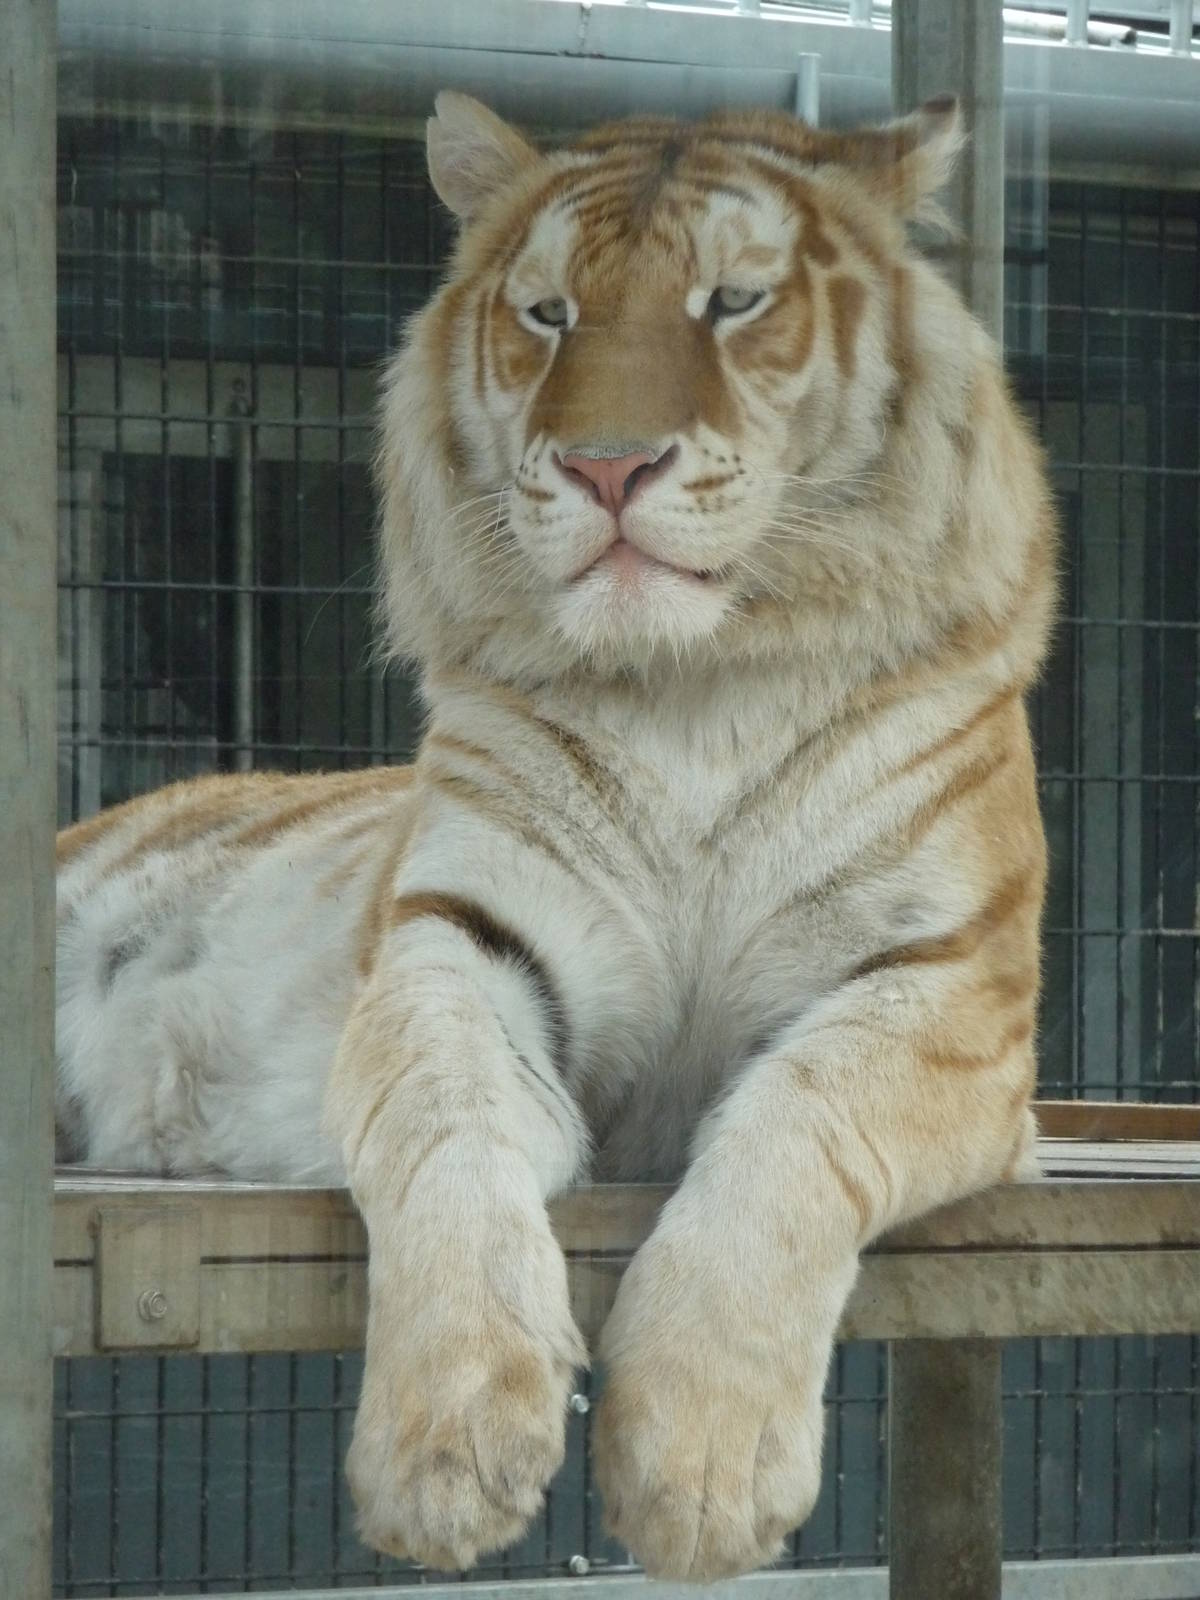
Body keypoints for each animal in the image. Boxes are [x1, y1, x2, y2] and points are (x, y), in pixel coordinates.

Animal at [55, 91, 1056, 1581]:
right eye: (548, 314)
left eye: (733, 301)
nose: (607, 465)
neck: (699, 689)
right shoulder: (455, 938)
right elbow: (451, 1124)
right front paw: (449, 1448)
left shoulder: (953, 990)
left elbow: (793, 1127)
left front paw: (698, 1469)